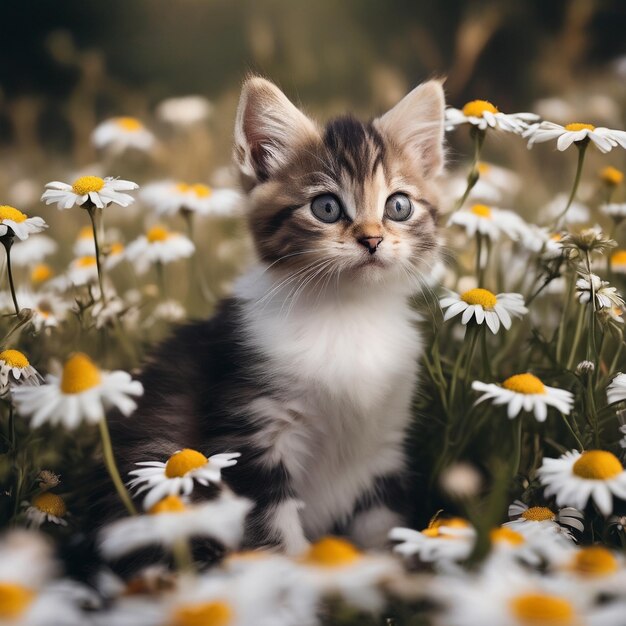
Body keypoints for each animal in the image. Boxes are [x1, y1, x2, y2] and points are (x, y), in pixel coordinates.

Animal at [103, 77, 444, 556]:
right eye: (326, 208)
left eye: (399, 206)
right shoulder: (248, 435)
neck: (346, 311)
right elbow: (276, 539)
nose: (373, 240)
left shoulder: (384, 446)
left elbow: (379, 530)